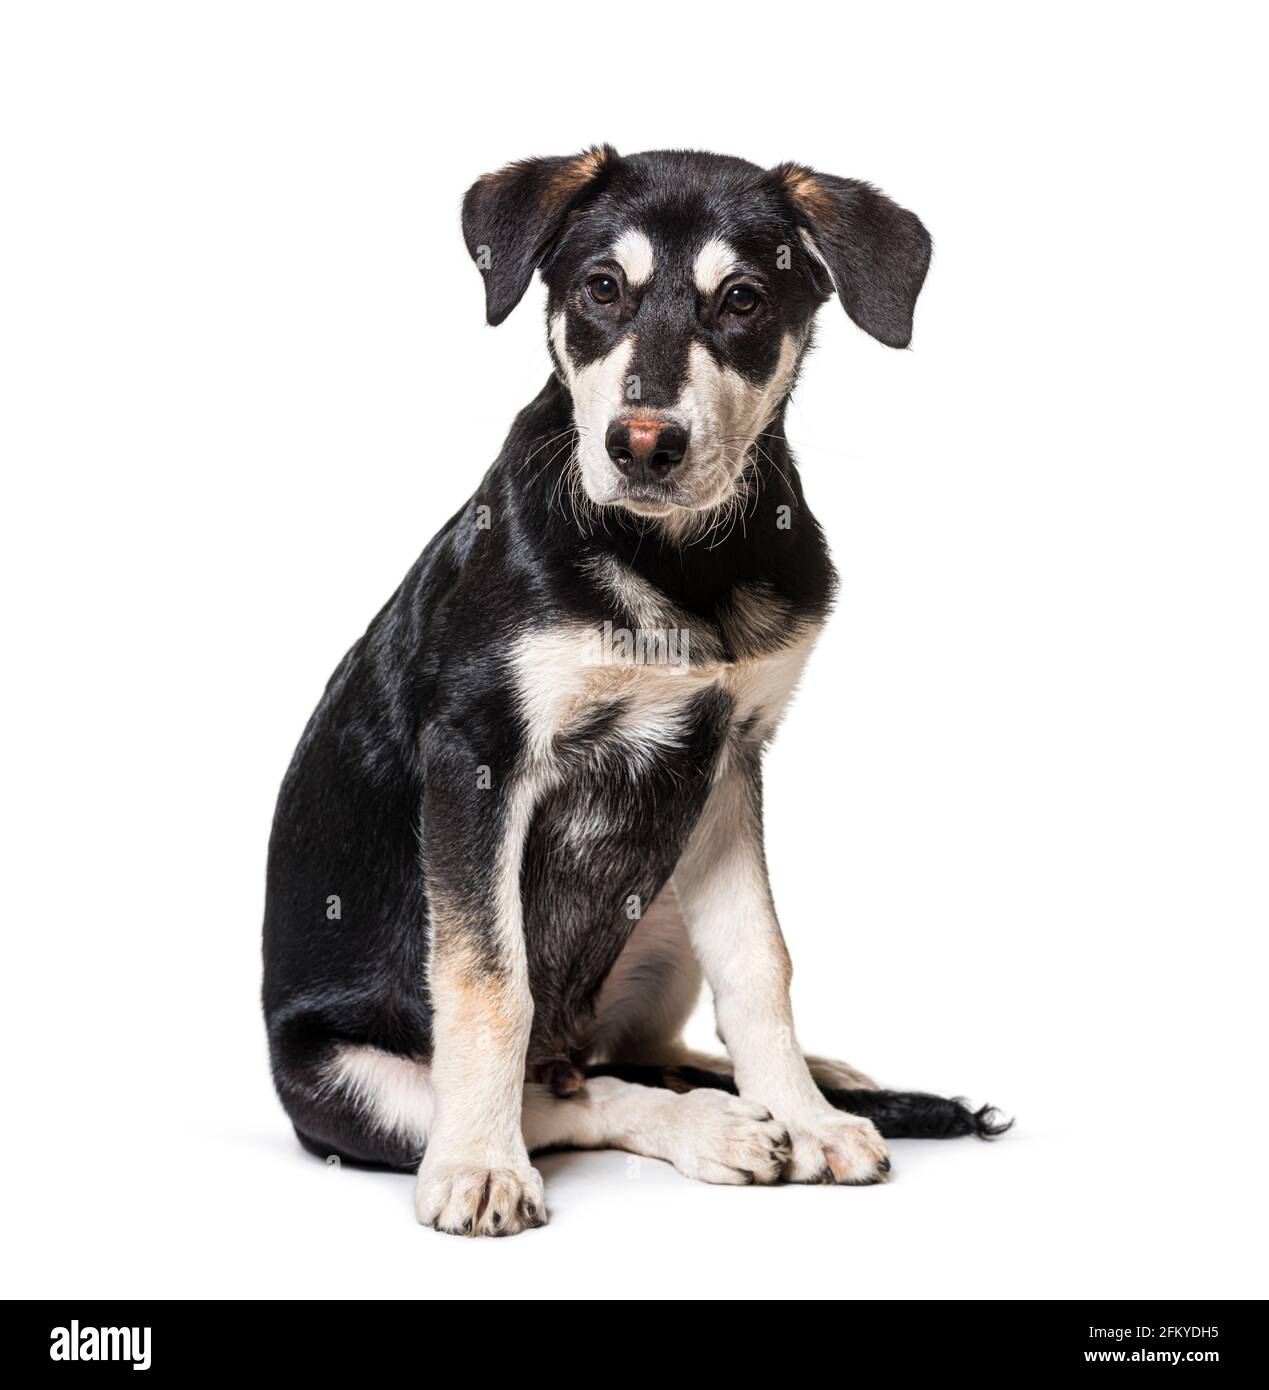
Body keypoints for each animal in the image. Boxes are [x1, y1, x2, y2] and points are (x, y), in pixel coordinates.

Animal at [262, 146, 1006, 1234]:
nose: (643, 442)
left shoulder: (727, 762)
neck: (673, 560)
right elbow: (490, 983)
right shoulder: (477, 759)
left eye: (743, 299)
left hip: (663, 918)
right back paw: (706, 1130)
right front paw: (477, 1166)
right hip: (353, 1086)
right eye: (600, 289)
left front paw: (806, 1115)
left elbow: (762, 964)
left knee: (632, 1059)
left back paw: (806, 1089)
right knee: (567, 1094)